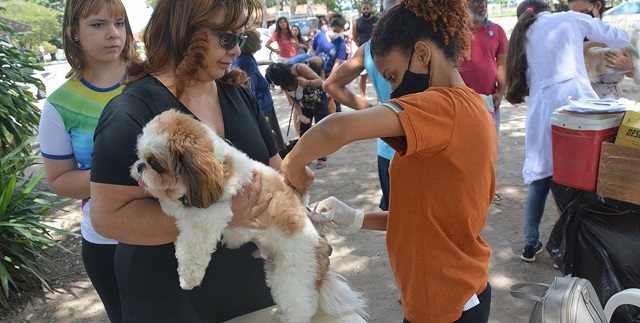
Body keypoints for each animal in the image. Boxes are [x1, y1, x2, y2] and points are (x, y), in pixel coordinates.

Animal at [131, 110, 364, 322]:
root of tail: (318, 246)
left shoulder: (210, 215)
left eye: (155, 163)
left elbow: (192, 247)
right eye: (139, 156)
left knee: (301, 308)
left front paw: (189, 277)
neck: (218, 165)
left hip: (292, 277)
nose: (139, 166)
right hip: (275, 272)